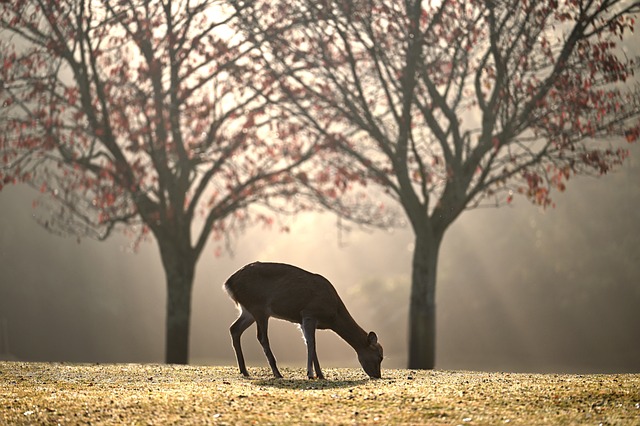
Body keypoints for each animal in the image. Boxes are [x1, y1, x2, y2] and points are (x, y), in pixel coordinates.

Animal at [225, 262, 384, 380]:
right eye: (379, 356)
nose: (377, 375)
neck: (333, 314)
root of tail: (228, 283)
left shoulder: (301, 321)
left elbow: (309, 343)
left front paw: (318, 374)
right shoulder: (309, 313)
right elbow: (312, 343)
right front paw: (312, 374)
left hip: (248, 311)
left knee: (234, 328)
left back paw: (244, 371)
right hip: (259, 307)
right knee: (261, 337)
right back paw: (277, 373)